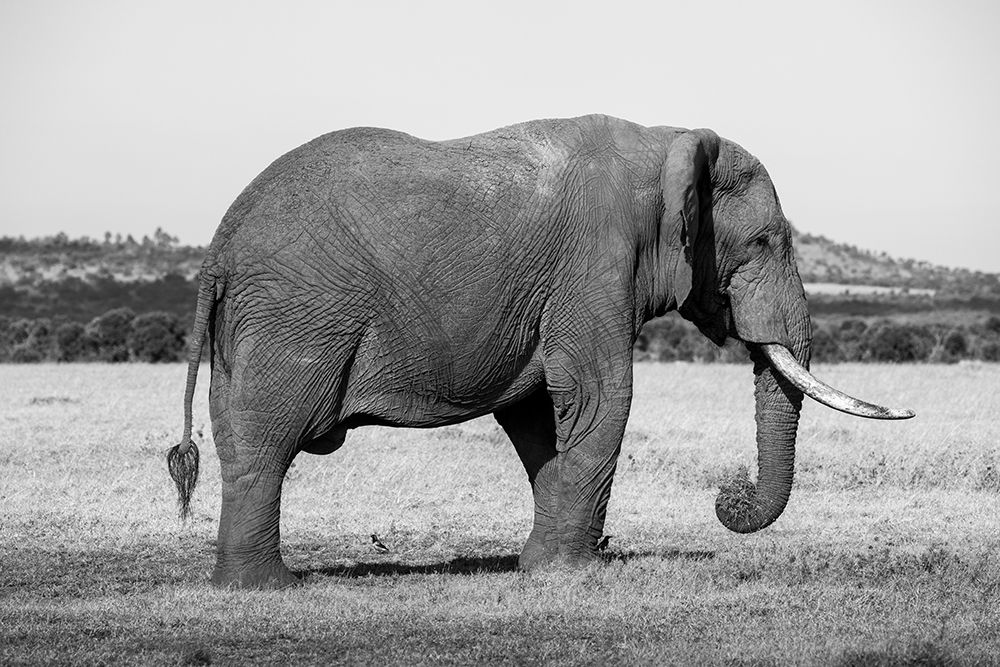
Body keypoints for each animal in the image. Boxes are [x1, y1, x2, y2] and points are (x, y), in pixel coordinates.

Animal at [166, 115, 916, 588]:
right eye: (762, 243)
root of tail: (217, 247)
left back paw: (241, 585)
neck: (666, 140)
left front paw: (540, 568)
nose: (726, 498)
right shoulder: (595, 265)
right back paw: (269, 588)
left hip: (255, 324)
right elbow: (598, 398)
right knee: (268, 441)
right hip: (296, 316)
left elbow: (537, 418)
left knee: (240, 438)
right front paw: (574, 573)